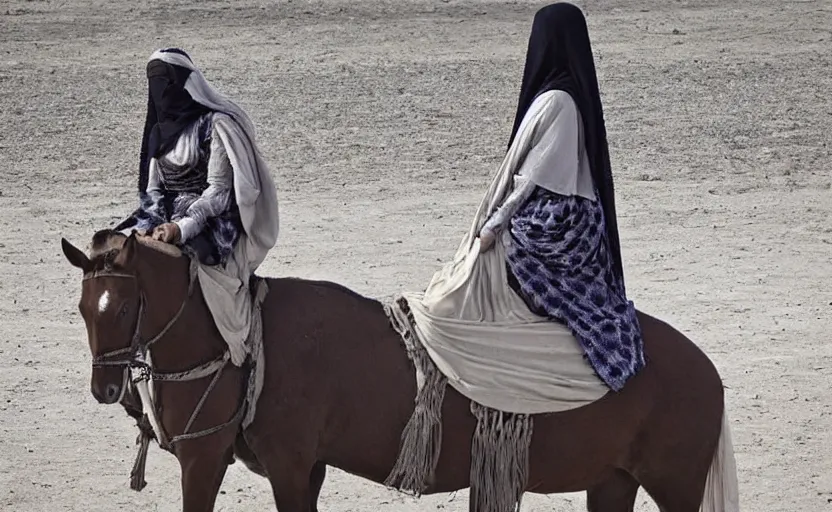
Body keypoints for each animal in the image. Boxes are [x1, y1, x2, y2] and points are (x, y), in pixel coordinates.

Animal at [61, 230, 736, 510]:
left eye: (123, 306)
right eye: (84, 309)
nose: (105, 387)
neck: (246, 345)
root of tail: (707, 370)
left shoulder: (252, 464)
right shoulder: (303, 468)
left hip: (673, 483)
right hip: (614, 481)